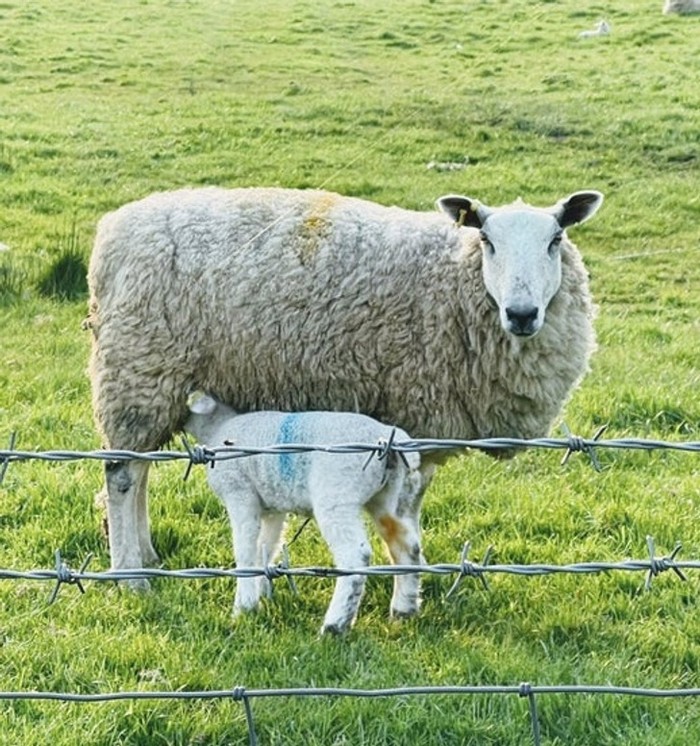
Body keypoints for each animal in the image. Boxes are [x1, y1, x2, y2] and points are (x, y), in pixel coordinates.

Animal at [86, 185, 600, 576]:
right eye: (488, 240)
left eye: (556, 238)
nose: (521, 313)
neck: (454, 279)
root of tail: (112, 233)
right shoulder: (416, 412)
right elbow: (409, 504)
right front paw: (409, 570)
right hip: (139, 368)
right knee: (123, 475)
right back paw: (130, 573)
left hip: (155, 379)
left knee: (140, 468)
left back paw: (147, 557)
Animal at [183, 392, 426, 632]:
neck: (217, 427)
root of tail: (387, 436)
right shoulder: (272, 507)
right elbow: (266, 547)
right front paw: (261, 592)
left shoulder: (239, 493)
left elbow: (245, 551)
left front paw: (243, 608)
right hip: (391, 497)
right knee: (407, 546)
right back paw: (404, 609)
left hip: (336, 496)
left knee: (356, 555)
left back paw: (335, 625)